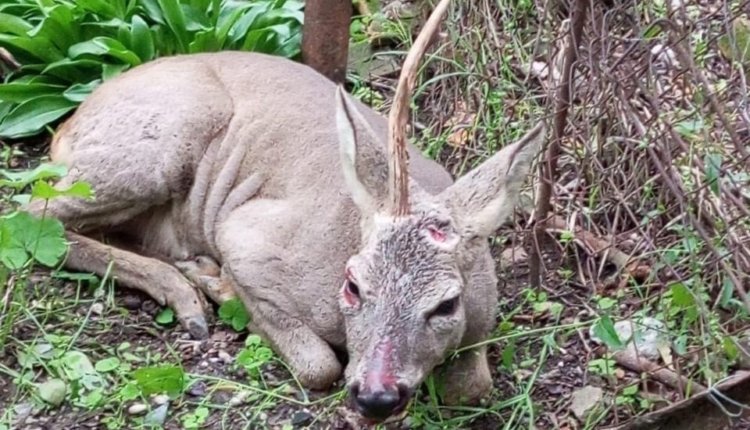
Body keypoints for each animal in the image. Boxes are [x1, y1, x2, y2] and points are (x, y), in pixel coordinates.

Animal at [22, 0, 545, 422]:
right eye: (353, 285)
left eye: (447, 304)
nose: (376, 396)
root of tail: (66, 126)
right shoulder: (247, 235)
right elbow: (318, 366)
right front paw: (227, 291)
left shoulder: (483, 310)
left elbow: (472, 386)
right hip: (160, 146)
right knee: (34, 214)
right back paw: (191, 293)